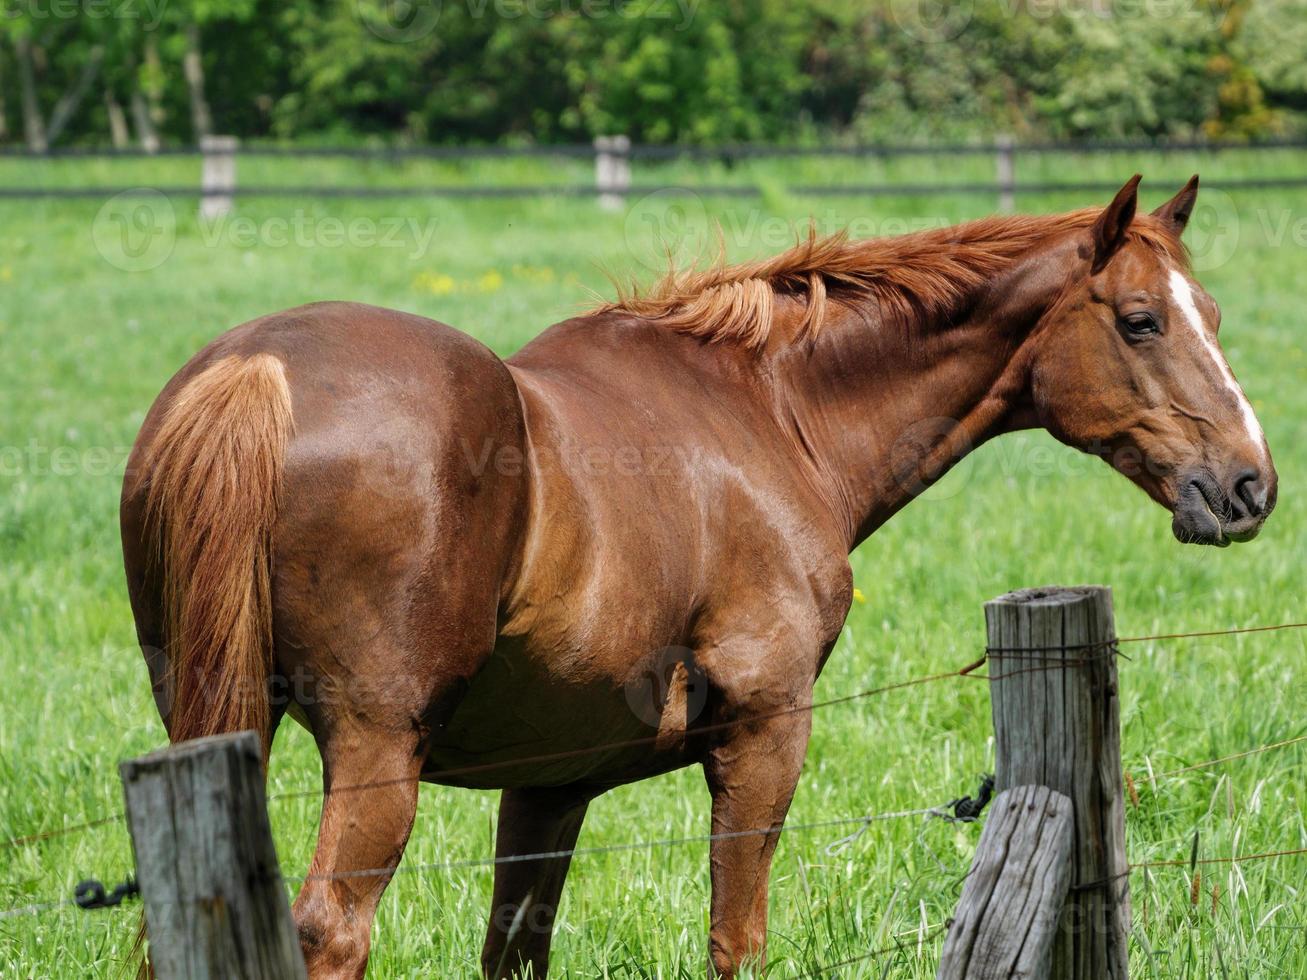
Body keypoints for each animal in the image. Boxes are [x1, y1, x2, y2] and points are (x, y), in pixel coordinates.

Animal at [124, 179, 1275, 980]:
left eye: (1213, 312)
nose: (1247, 484)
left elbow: (516, 943)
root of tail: (257, 369)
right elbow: (735, 937)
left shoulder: (546, 785)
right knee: (330, 929)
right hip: (374, 752)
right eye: (1140, 319)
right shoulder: (762, 735)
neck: (771, 413)